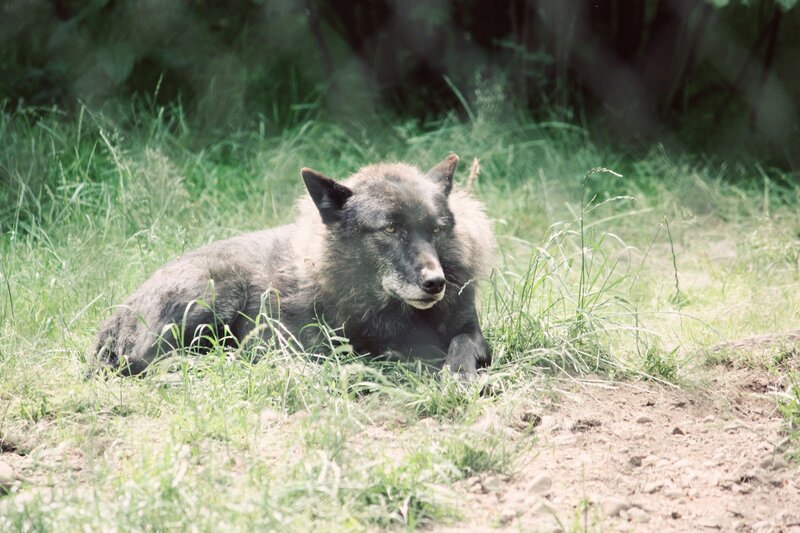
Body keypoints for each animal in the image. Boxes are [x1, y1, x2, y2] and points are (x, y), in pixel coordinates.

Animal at [93, 155, 495, 378]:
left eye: (436, 230)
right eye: (390, 229)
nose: (435, 282)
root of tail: (114, 316)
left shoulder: (470, 331)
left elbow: (462, 345)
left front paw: (459, 374)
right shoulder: (301, 341)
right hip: (219, 289)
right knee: (149, 361)